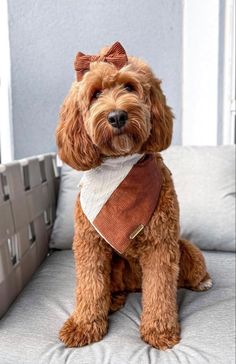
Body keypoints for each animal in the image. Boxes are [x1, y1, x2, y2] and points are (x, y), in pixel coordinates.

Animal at [55, 42, 212, 350]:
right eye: (95, 94)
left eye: (129, 87)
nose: (117, 116)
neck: (120, 165)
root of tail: (134, 286)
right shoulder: (90, 245)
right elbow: (90, 287)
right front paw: (83, 326)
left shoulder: (161, 244)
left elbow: (161, 290)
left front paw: (159, 330)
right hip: (116, 265)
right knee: (108, 288)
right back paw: (112, 302)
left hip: (185, 248)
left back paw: (202, 282)